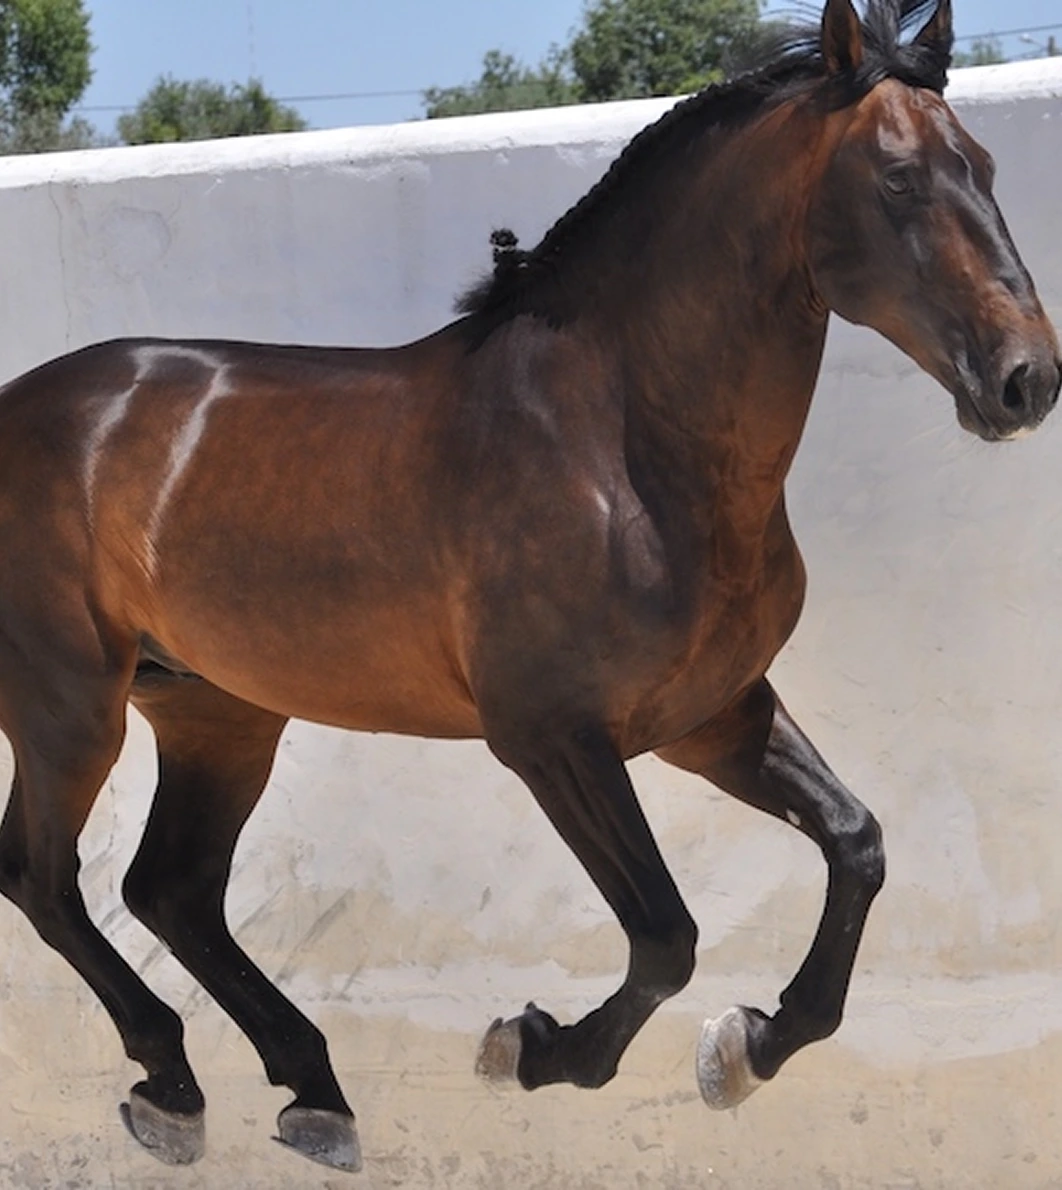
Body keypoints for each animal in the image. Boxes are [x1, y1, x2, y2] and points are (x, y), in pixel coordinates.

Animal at [0, 0, 1056, 1172]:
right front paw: (536, 1047)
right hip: (68, 706)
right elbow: (666, 933)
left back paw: (300, 1093)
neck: (623, 441)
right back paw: (173, 1081)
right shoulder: (551, 739)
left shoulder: (711, 718)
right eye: (899, 178)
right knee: (44, 878)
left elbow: (856, 845)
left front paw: (749, 1044)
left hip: (216, 712)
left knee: (171, 889)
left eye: (985, 166)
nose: (1027, 380)